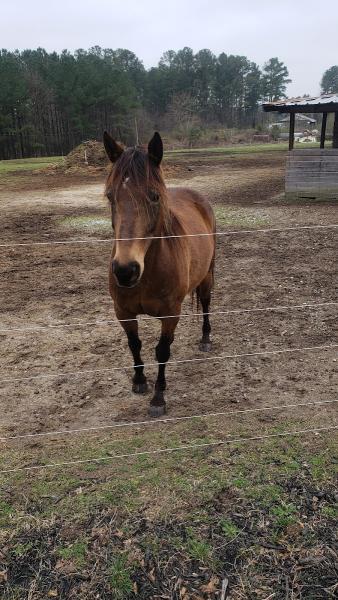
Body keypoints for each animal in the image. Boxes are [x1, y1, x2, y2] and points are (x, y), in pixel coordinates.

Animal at [102, 131, 217, 414]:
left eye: (154, 196)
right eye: (110, 196)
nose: (125, 270)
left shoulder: (170, 313)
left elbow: (162, 351)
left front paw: (158, 397)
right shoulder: (123, 311)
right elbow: (135, 344)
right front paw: (140, 380)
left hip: (207, 277)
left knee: (206, 304)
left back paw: (205, 339)